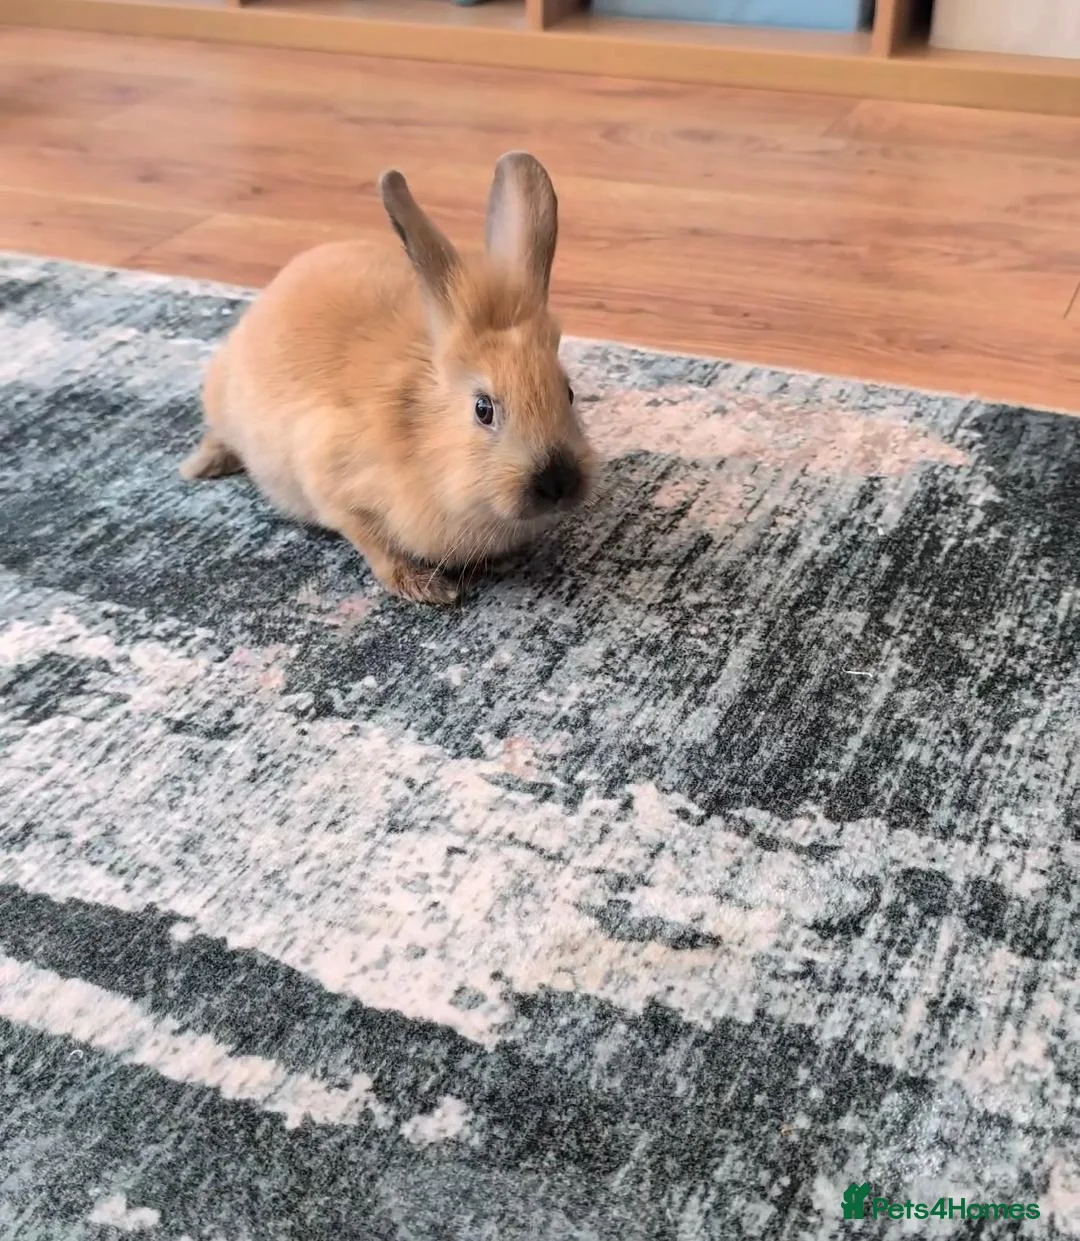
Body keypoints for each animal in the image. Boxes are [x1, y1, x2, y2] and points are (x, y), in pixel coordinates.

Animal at [180, 151, 598, 605]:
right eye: (483, 409)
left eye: (568, 393)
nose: (558, 484)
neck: (422, 431)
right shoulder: (333, 485)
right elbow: (375, 546)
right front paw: (427, 588)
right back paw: (200, 467)